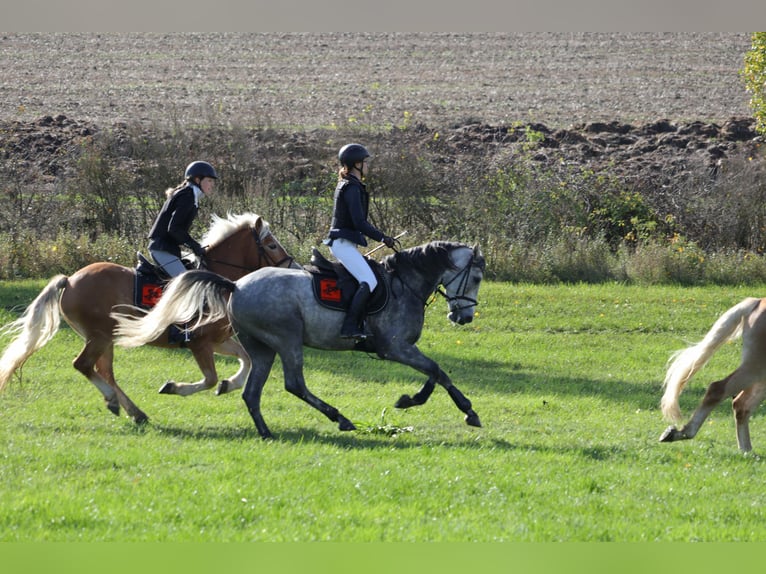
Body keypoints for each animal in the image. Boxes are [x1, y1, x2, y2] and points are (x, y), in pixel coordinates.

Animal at [0, 214, 300, 426]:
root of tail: (70, 280)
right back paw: (115, 402)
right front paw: (175, 387)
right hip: (100, 336)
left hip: (105, 338)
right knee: (84, 365)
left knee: (103, 371)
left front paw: (229, 385)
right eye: (271, 245)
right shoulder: (200, 343)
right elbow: (210, 378)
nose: (294, 268)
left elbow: (245, 361)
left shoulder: (218, 341)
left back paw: (134, 411)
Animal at [114, 241, 486, 438]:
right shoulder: (395, 347)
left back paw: (266, 432)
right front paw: (466, 411)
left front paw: (411, 399)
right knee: (294, 383)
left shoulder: (401, 349)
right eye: (477, 277)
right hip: (288, 339)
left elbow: (434, 374)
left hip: (261, 348)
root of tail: (236, 285)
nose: (463, 318)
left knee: (252, 392)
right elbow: (437, 371)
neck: (404, 284)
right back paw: (340, 418)